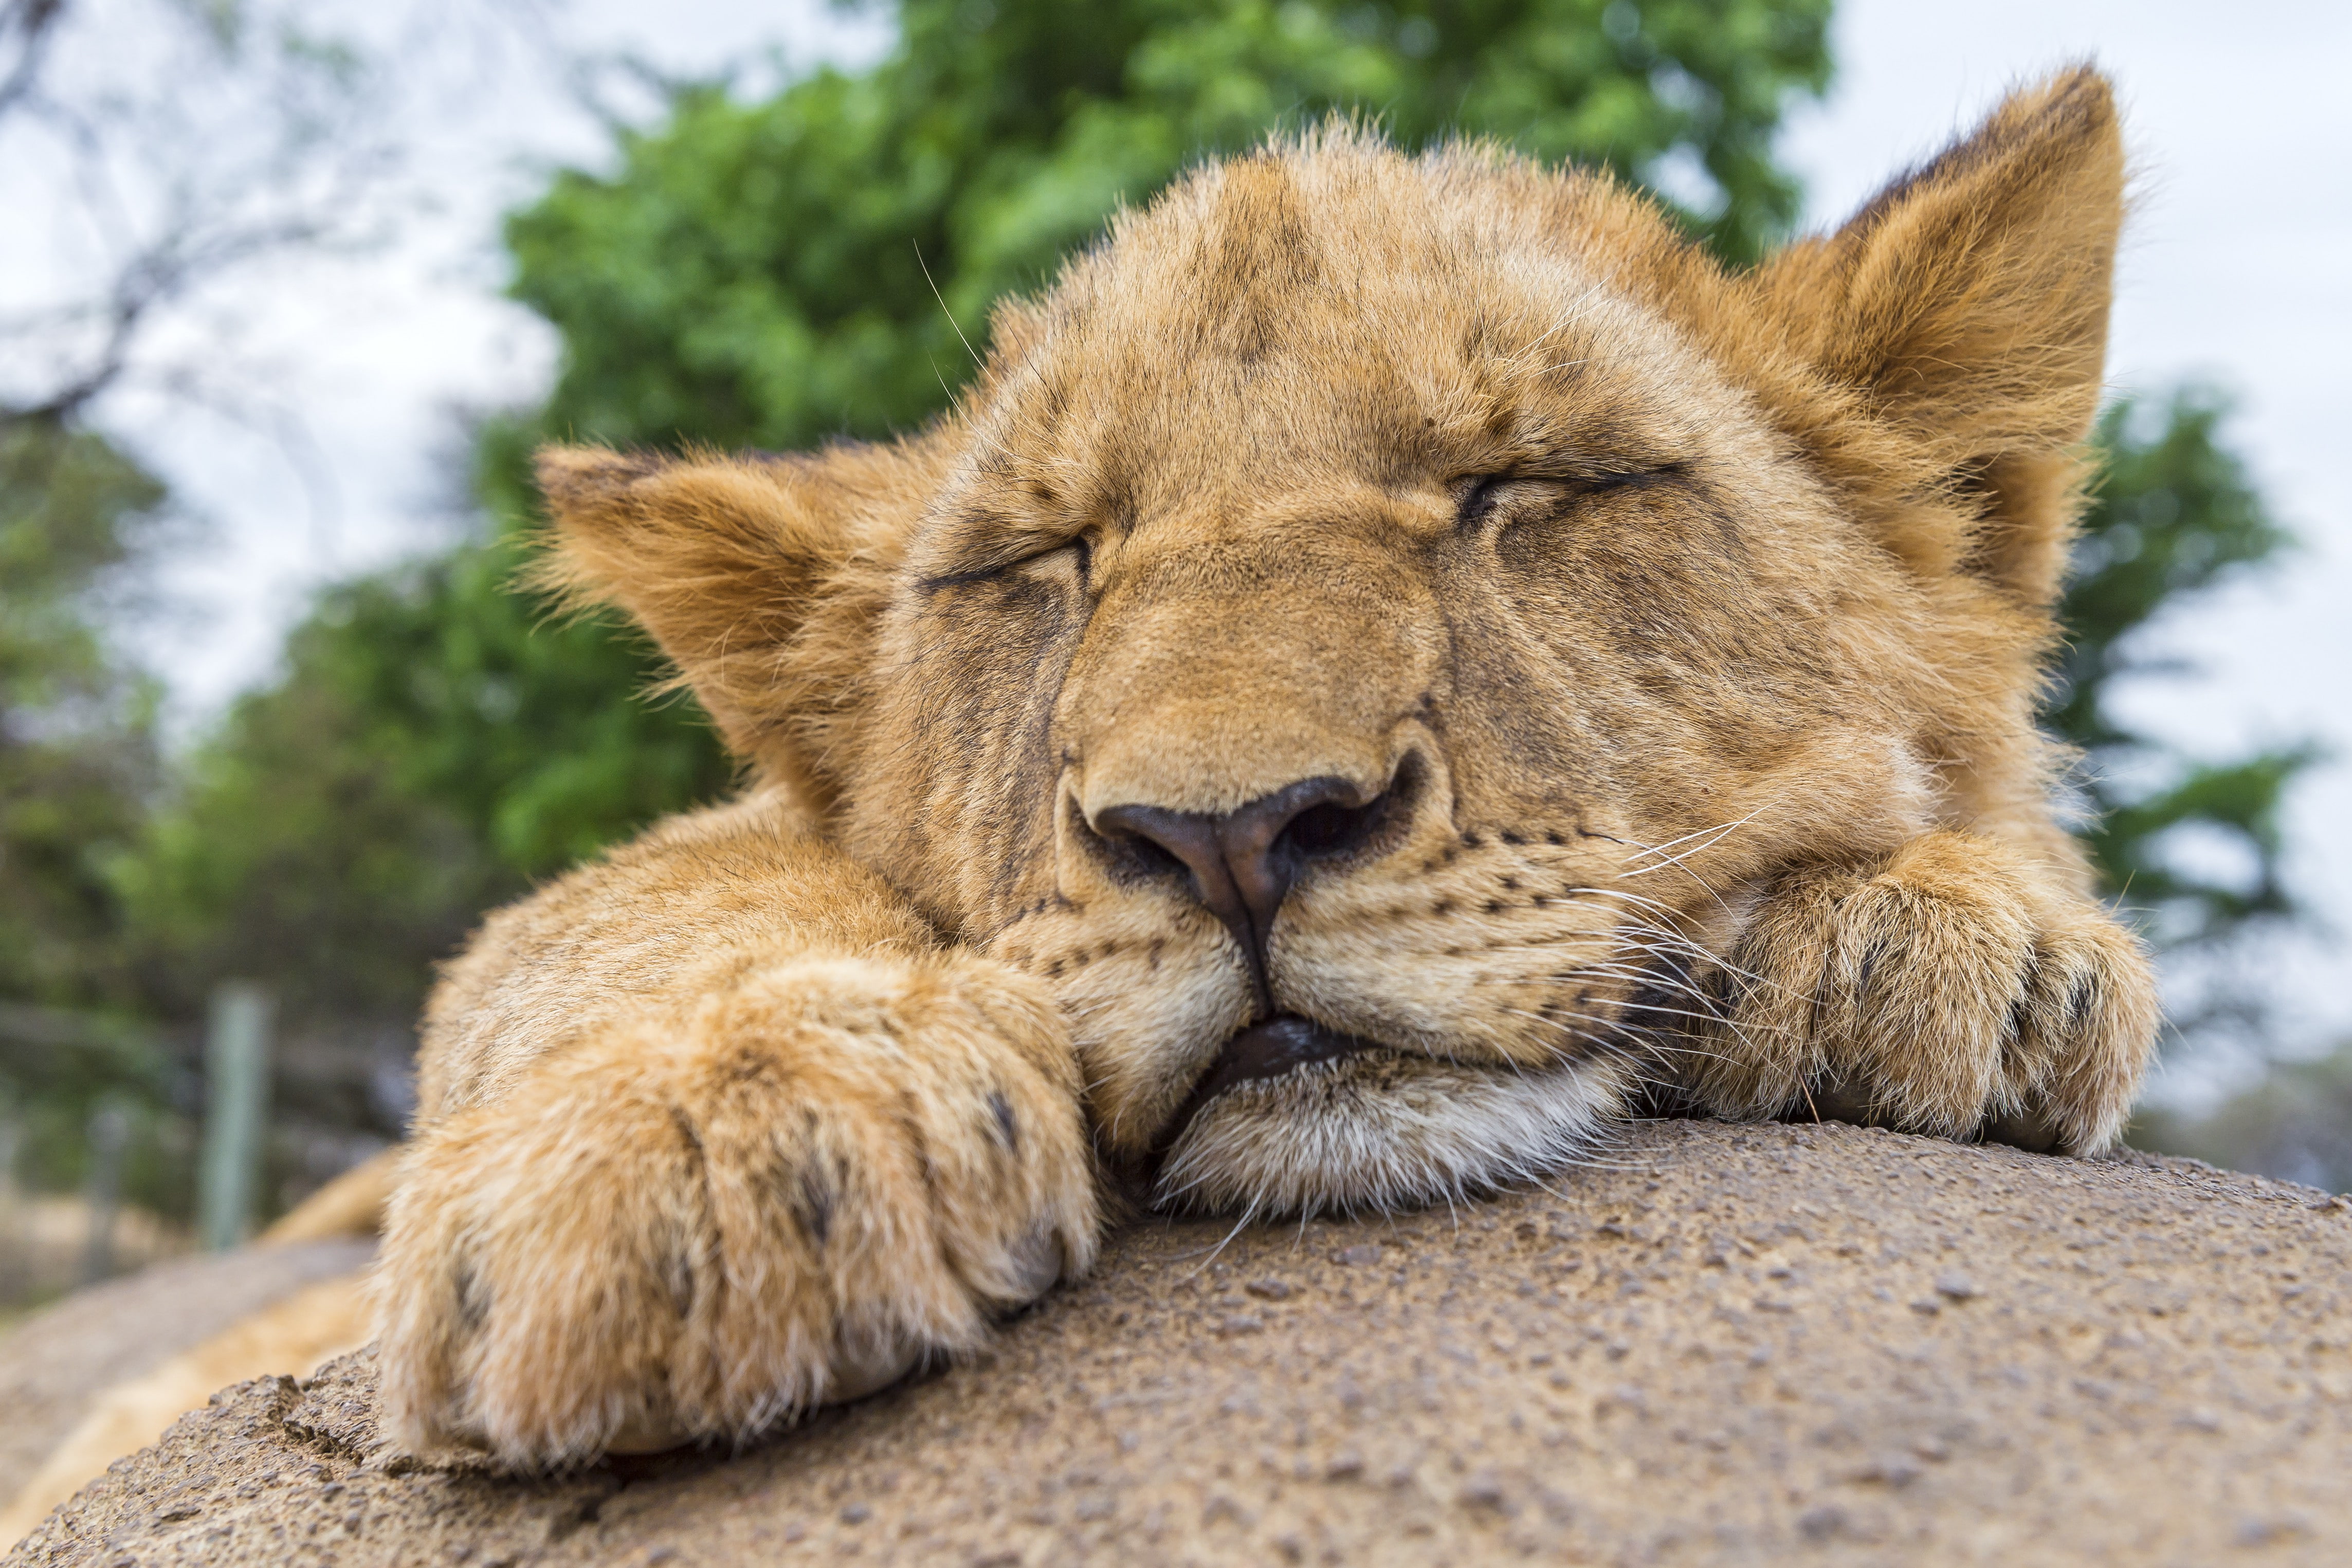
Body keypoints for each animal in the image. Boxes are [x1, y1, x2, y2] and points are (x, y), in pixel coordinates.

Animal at [5, 64, 2158, 1518]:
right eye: (1038, 567)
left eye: (1521, 484)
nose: (1229, 835)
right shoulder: (673, 874)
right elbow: (654, 895)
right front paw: (712, 1137)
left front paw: (1945, 935)